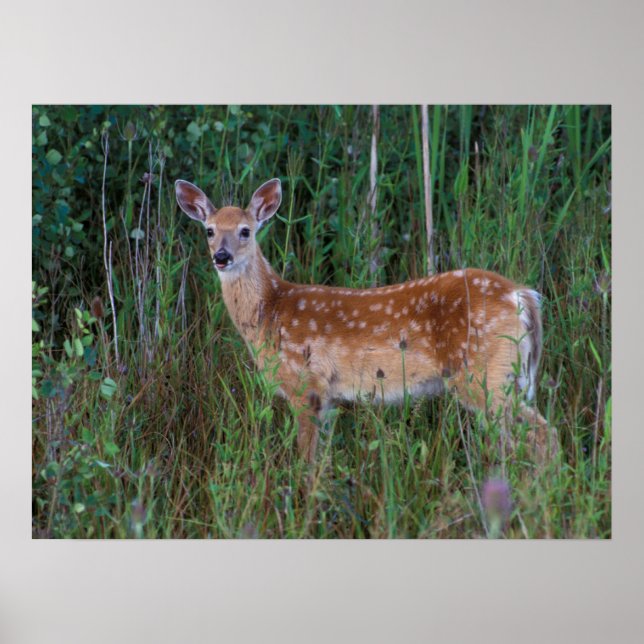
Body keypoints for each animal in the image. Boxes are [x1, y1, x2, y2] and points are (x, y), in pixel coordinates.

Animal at [175, 177, 558, 465]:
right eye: (209, 230)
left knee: (544, 435)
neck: (271, 311)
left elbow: (306, 462)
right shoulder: (328, 397)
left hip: (484, 375)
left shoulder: (305, 386)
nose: (221, 257)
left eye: (245, 231)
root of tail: (522, 296)